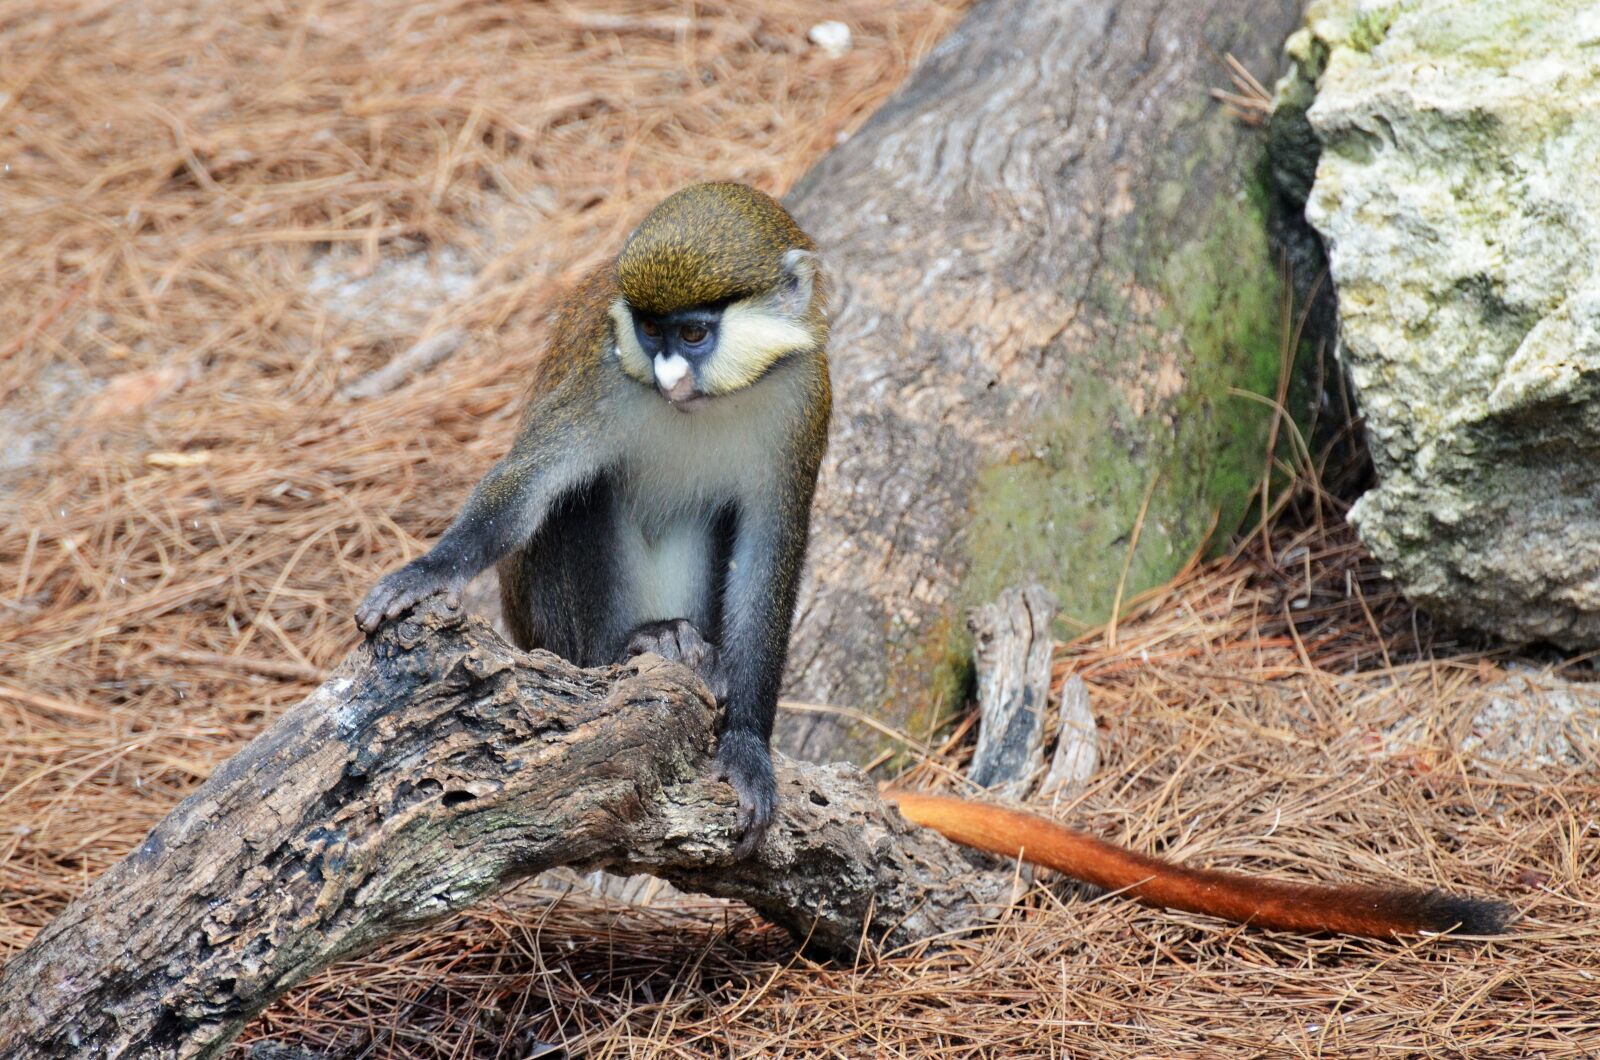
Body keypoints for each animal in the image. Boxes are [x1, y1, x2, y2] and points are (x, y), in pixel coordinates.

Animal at [356, 182, 831, 857]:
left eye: (693, 333)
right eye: (650, 330)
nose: (666, 376)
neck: (707, 404)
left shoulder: (804, 401)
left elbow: (768, 560)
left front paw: (746, 746)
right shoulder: (602, 382)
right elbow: (530, 485)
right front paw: (428, 571)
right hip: (551, 635)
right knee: (585, 495)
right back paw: (628, 649)